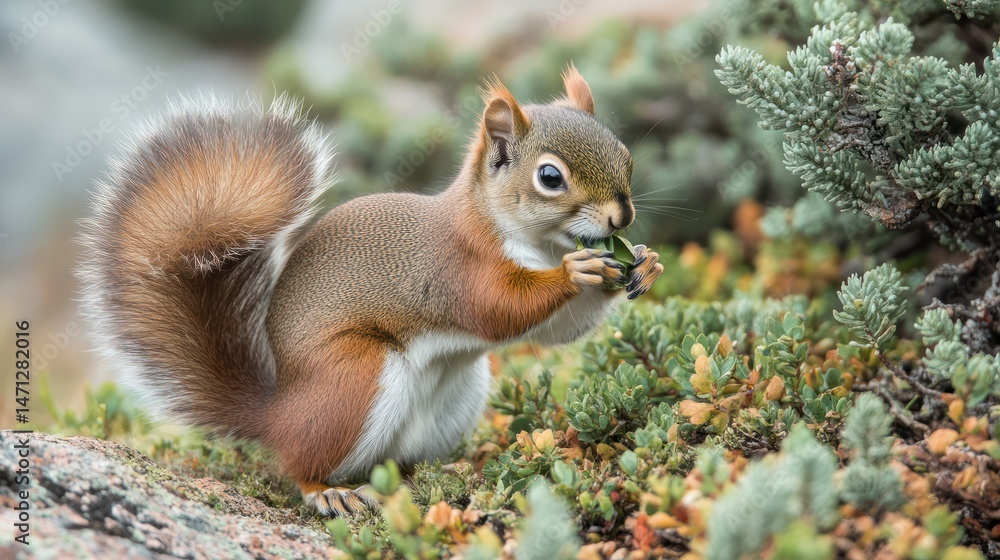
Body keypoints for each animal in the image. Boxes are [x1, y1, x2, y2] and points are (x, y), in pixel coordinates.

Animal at [79, 66, 663, 517]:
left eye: (625, 154)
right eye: (550, 177)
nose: (621, 217)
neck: (536, 245)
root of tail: (277, 415)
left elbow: (563, 331)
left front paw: (645, 263)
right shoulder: (455, 269)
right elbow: (498, 309)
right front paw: (574, 273)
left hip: (459, 396)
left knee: (398, 462)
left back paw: (444, 469)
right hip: (356, 377)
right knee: (302, 463)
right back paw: (327, 492)